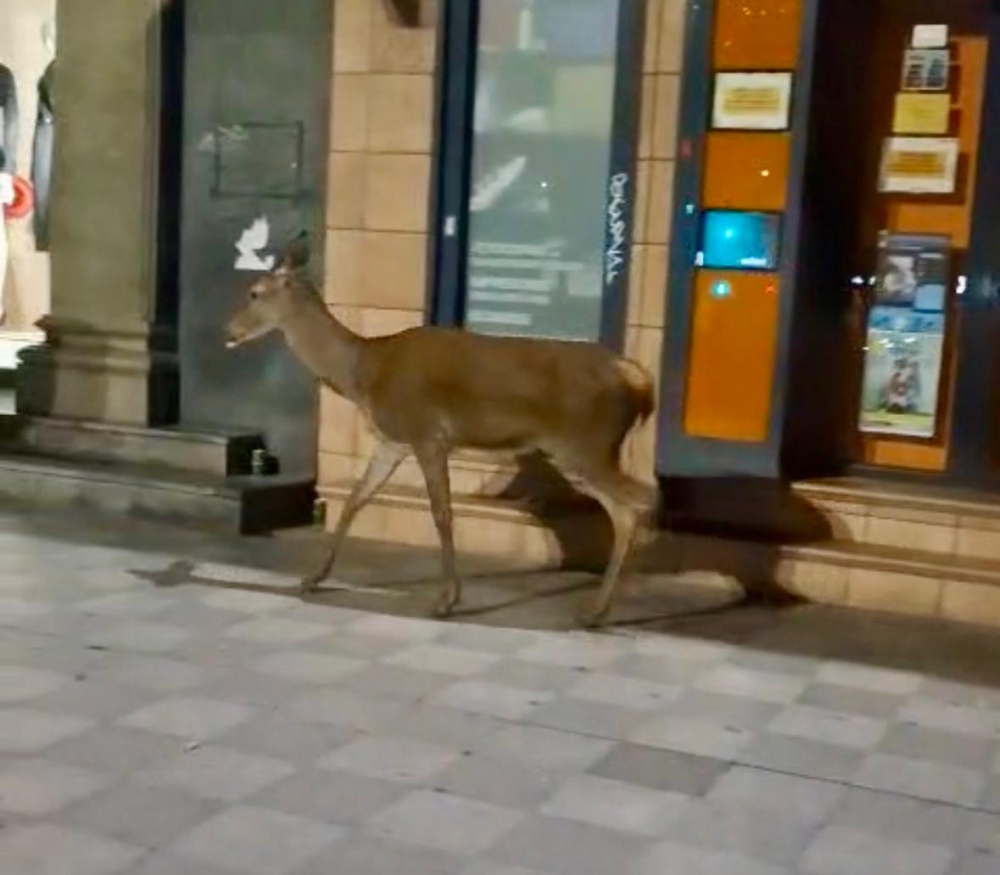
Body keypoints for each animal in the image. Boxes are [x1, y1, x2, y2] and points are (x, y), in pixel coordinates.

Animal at [225, 233, 656, 628]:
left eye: (254, 292)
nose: (229, 331)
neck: (365, 372)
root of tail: (636, 378)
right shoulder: (393, 441)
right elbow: (355, 500)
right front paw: (312, 579)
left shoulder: (427, 433)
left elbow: (442, 513)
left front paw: (446, 600)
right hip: (575, 452)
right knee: (626, 511)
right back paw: (600, 608)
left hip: (587, 444)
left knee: (641, 501)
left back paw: (604, 608)